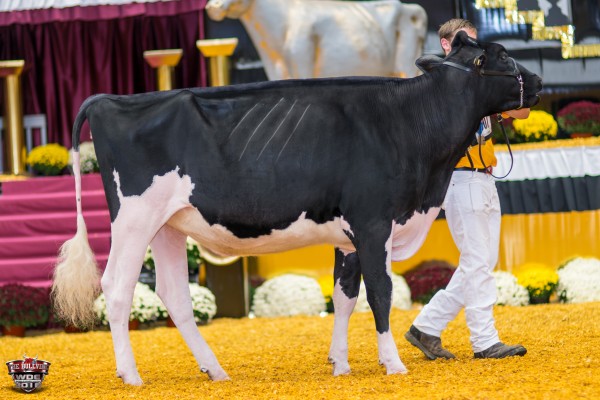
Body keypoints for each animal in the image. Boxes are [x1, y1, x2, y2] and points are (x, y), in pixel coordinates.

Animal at [52, 31, 542, 386]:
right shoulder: (373, 223)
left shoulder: (348, 234)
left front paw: (341, 364)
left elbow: (345, 297)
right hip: (134, 219)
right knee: (116, 288)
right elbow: (381, 293)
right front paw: (392, 363)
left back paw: (215, 370)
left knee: (174, 295)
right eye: (501, 56)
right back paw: (130, 374)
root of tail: (111, 100)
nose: (538, 83)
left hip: (168, 225)